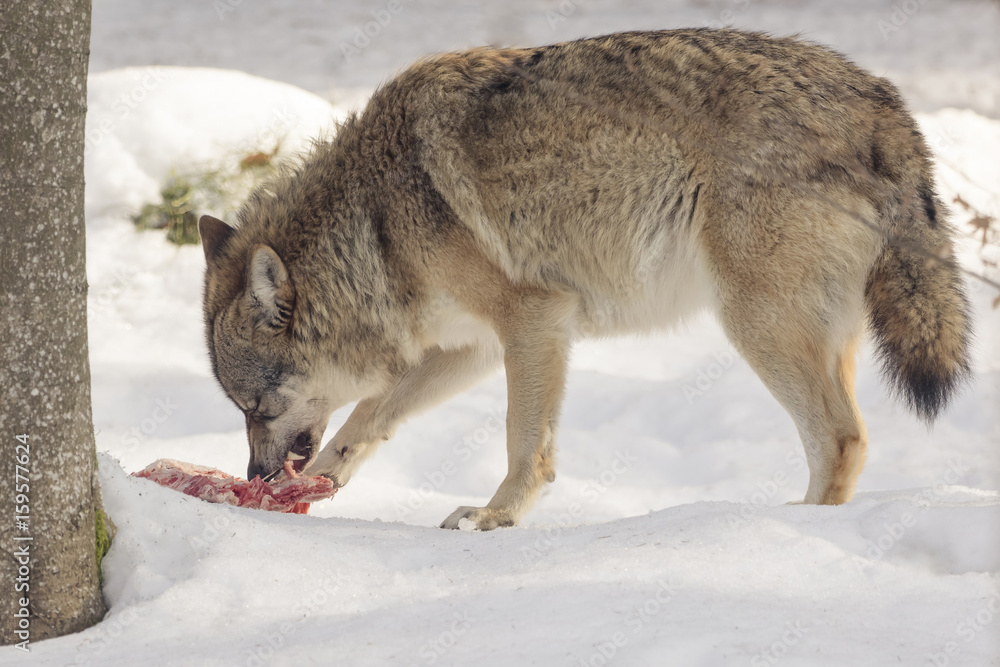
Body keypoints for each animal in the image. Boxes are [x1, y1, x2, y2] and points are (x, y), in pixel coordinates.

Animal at [198, 29, 972, 530]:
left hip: (756, 324)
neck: (376, 223)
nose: (254, 476)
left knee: (843, 437)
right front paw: (321, 482)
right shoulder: (472, 346)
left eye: (258, 407)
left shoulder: (535, 319)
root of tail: (880, 98)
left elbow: (524, 442)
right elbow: (368, 416)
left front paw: (495, 517)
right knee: (841, 440)